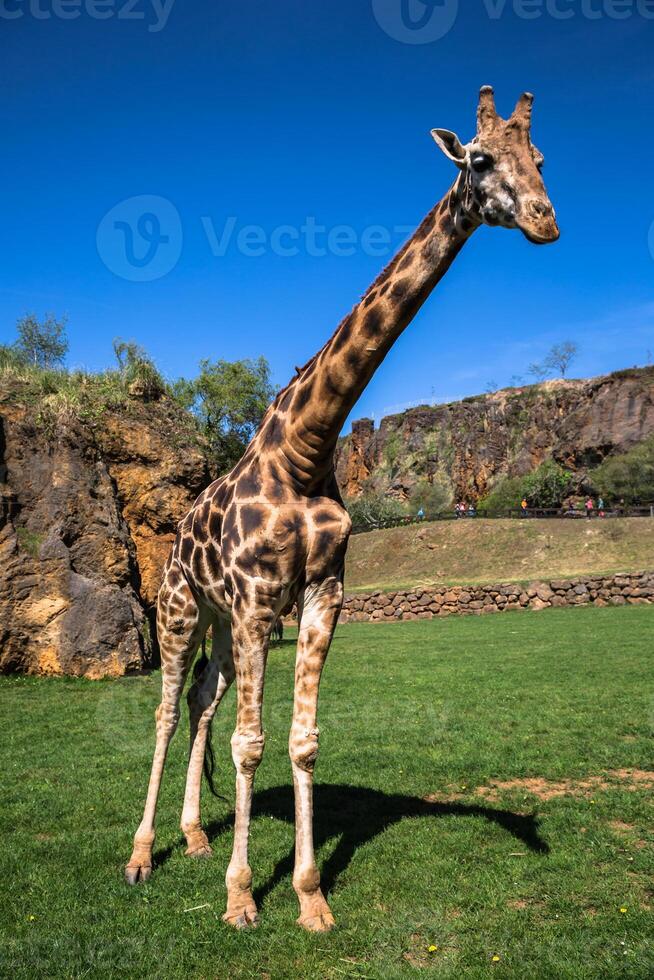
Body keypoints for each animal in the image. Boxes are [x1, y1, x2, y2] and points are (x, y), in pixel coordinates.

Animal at [125, 88, 560, 932]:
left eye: (541, 159)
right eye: (479, 159)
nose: (545, 220)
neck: (309, 441)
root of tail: (177, 536)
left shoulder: (321, 592)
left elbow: (301, 740)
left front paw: (308, 896)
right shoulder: (262, 598)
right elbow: (252, 742)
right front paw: (241, 898)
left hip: (221, 623)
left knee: (200, 700)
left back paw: (193, 836)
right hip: (183, 607)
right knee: (164, 709)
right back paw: (140, 854)